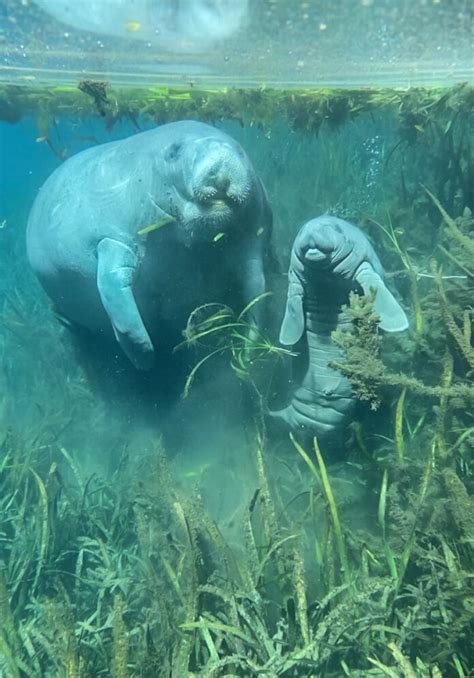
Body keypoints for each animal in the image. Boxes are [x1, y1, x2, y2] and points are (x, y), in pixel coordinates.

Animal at [26, 119, 270, 370]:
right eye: (173, 152)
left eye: (240, 150)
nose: (220, 154)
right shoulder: (111, 240)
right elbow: (118, 301)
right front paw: (145, 358)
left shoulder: (252, 236)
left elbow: (257, 289)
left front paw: (249, 353)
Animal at [272, 216, 410, 440]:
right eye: (301, 230)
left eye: (337, 229)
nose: (311, 230)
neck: (326, 278)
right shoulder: (294, 280)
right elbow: (292, 309)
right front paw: (286, 339)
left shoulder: (364, 265)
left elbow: (378, 290)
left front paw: (398, 323)